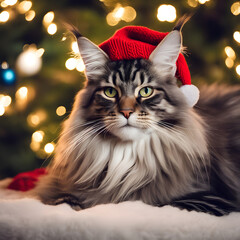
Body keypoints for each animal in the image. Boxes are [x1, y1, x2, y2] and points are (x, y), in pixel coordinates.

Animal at [32, 16, 240, 216]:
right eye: (110, 92)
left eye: (146, 91)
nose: (126, 111)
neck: (127, 158)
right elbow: (60, 198)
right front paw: (69, 202)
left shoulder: (208, 198)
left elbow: (153, 202)